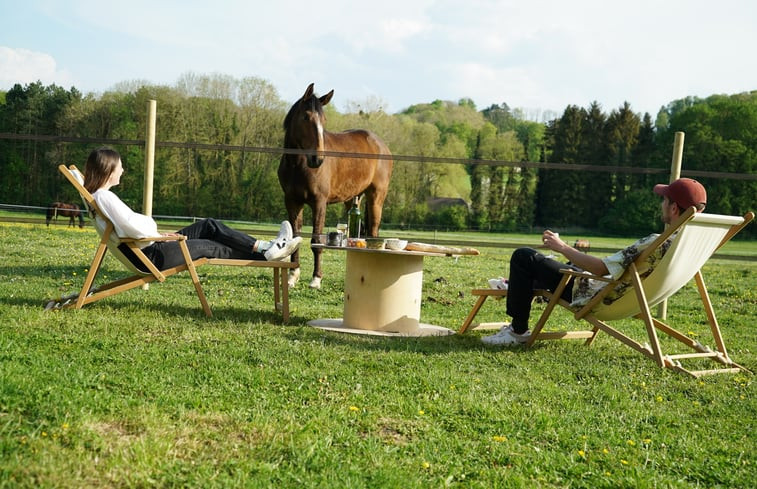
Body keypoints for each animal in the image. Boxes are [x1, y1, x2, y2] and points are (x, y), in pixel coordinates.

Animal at [280, 82, 396, 288]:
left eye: (324, 119)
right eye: (306, 117)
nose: (317, 159)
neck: (298, 165)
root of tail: (381, 145)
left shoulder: (319, 203)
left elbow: (315, 240)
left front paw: (316, 279)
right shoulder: (292, 202)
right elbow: (296, 237)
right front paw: (293, 276)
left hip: (376, 197)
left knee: (373, 229)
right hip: (352, 199)